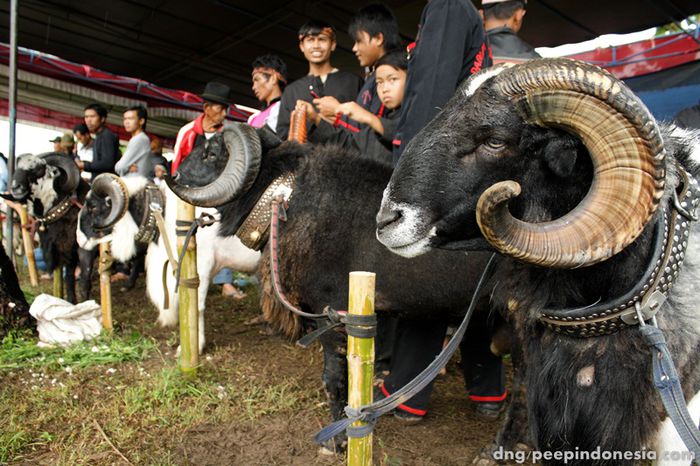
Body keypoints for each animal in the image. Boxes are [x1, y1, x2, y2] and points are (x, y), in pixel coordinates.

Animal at [9, 155, 95, 304]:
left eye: (38, 169)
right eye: (16, 168)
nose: (15, 187)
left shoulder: (85, 251)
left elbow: (84, 284)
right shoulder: (67, 253)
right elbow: (69, 281)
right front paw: (71, 303)